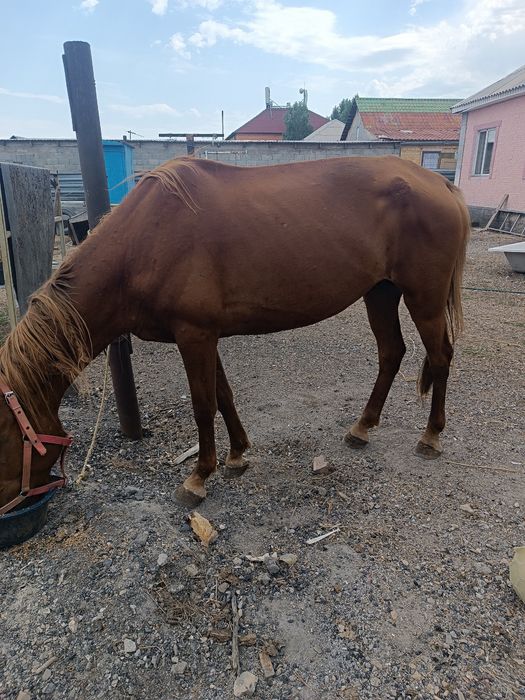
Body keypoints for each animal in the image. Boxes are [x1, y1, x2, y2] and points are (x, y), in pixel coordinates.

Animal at [0, 155, 470, 514]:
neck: (146, 239)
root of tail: (441, 185)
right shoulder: (206, 336)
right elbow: (223, 395)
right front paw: (237, 454)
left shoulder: (194, 336)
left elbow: (203, 404)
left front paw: (197, 478)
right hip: (381, 293)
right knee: (391, 353)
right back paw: (362, 428)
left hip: (423, 298)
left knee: (440, 357)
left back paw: (430, 437)